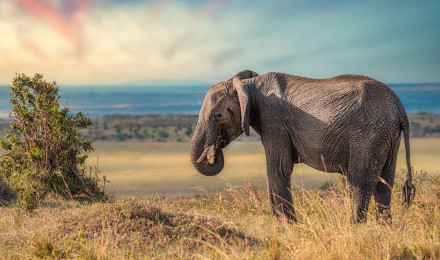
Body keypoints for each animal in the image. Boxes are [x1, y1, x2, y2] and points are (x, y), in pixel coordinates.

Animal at [190, 70, 416, 222]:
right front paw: (278, 223)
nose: (217, 145)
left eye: (218, 115)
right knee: (384, 183)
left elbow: (278, 168)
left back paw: (355, 228)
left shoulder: (274, 120)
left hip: (370, 135)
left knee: (361, 182)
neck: (248, 84)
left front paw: (287, 225)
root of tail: (400, 108)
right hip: (387, 136)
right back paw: (384, 228)